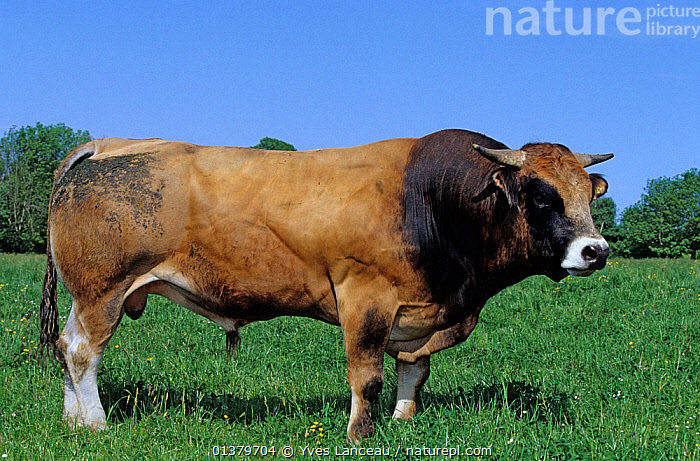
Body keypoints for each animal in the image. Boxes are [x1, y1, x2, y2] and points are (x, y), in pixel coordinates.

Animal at [41, 127, 612, 440]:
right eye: (542, 196)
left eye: (590, 194)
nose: (596, 250)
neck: (433, 201)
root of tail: (107, 144)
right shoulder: (365, 298)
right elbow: (368, 377)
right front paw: (361, 434)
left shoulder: (421, 314)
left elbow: (414, 372)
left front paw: (402, 423)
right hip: (103, 291)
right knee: (85, 353)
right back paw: (97, 423)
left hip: (86, 296)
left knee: (65, 345)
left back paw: (72, 421)